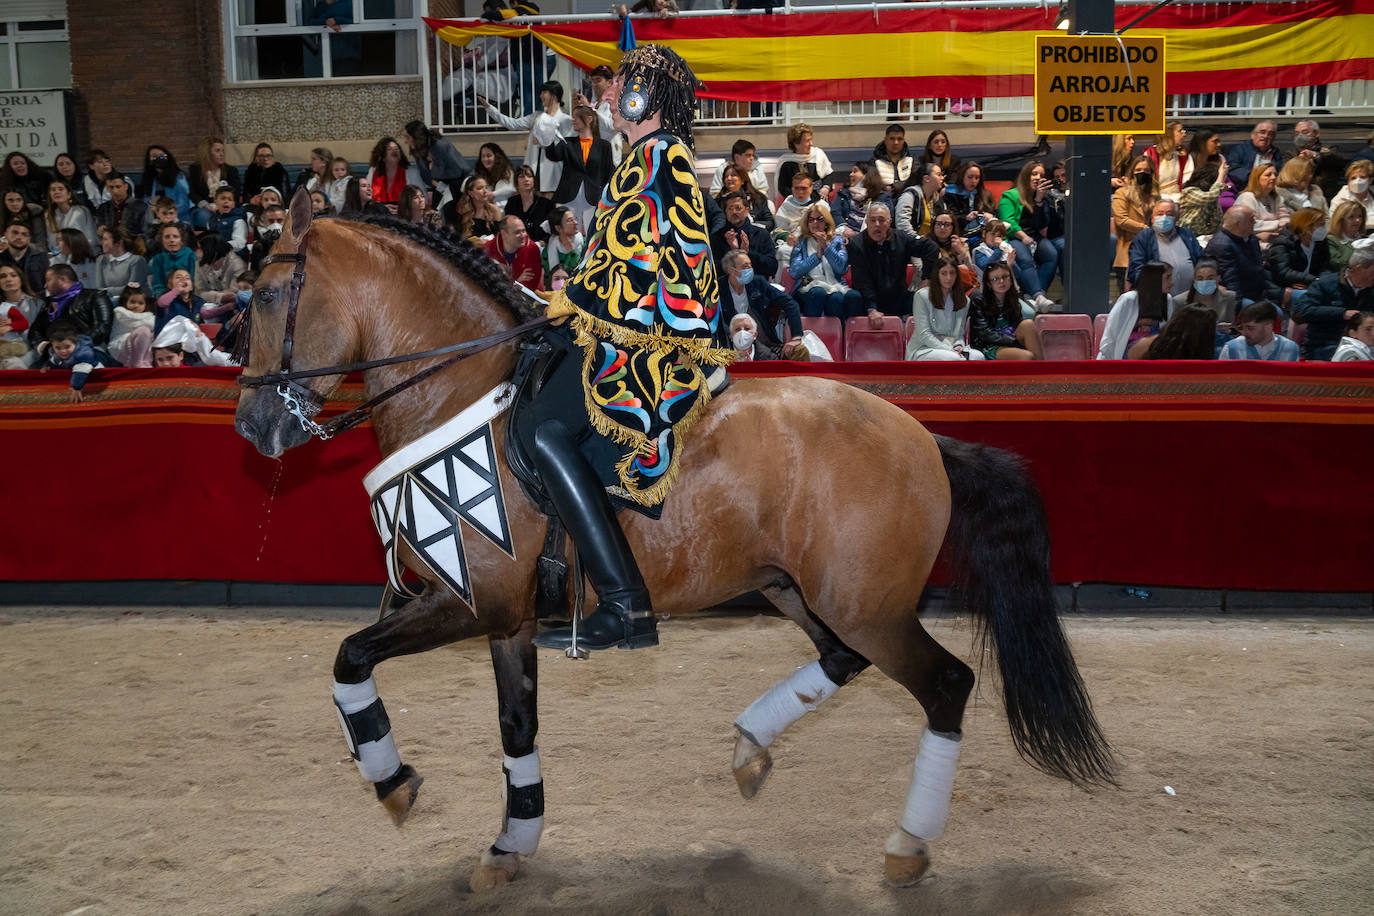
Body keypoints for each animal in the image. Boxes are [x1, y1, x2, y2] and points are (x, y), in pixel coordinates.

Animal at [236, 192, 1115, 895]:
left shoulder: (468, 605)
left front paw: (392, 781)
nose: (254, 425)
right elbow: (516, 730)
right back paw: (752, 745)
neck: (462, 391)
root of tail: (926, 439)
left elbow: (350, 658)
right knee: (843, 661)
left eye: (270, 294)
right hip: (803, 590)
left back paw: (906, 845)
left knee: (945, 686)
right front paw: (509, 844)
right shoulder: (508, 621)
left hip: (866, 605)